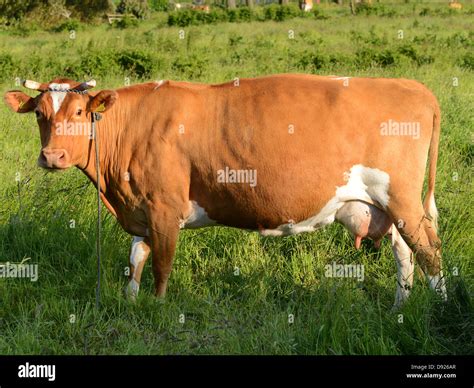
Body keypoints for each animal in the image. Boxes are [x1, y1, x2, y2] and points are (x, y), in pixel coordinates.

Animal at [3, 75, 446, 306]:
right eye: (39, 114)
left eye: (79, 112)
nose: (52, 156)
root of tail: (412, 86)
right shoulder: (141, 208)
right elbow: (136, 257)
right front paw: (129, 299)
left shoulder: (164, 208)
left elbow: (161, 263)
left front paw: (157, 307)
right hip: (387, 206)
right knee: (405, 254)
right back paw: (400, 306)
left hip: (403, 199)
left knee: (429, 251)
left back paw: (439, 307)